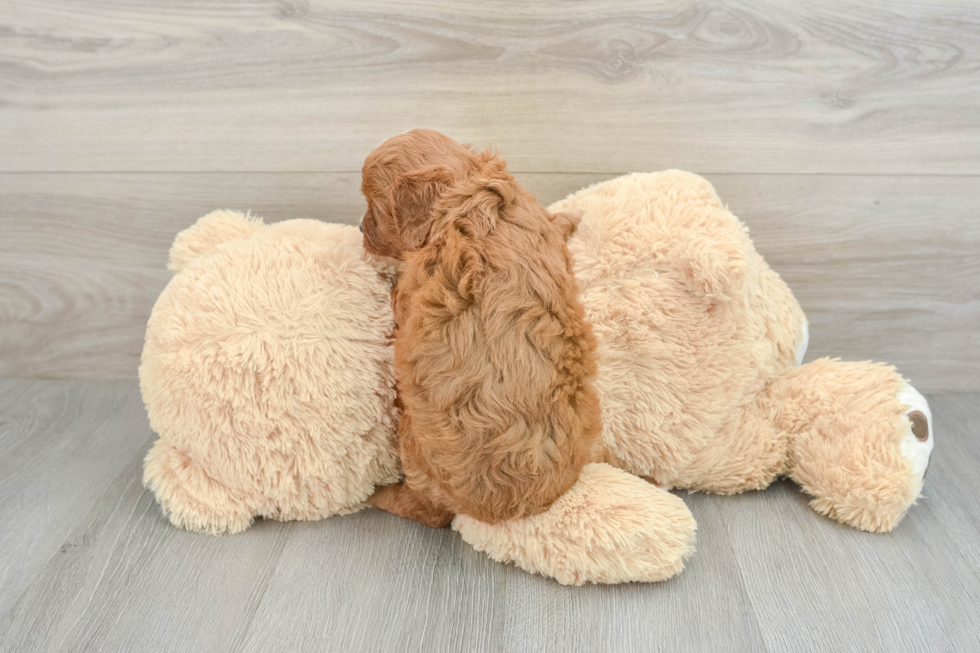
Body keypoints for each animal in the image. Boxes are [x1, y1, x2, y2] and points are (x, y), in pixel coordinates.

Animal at [362, 130, 604, 528]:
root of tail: (511, 508)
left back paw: (382, 496)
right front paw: (567, 218)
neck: (466, 191)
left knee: (429, 512)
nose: (360, 228)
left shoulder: (414, 288)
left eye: (377, 209)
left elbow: (400, 303)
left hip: (415, 445)